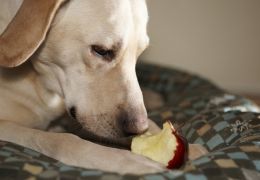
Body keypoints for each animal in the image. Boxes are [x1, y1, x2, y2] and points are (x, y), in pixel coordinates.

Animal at [0, 0, 166, 174]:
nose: (139, 129)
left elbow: (154, 125)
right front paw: (124, 160)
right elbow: (60, 140)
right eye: (101, 51)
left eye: (139, 54)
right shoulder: (8, 127)